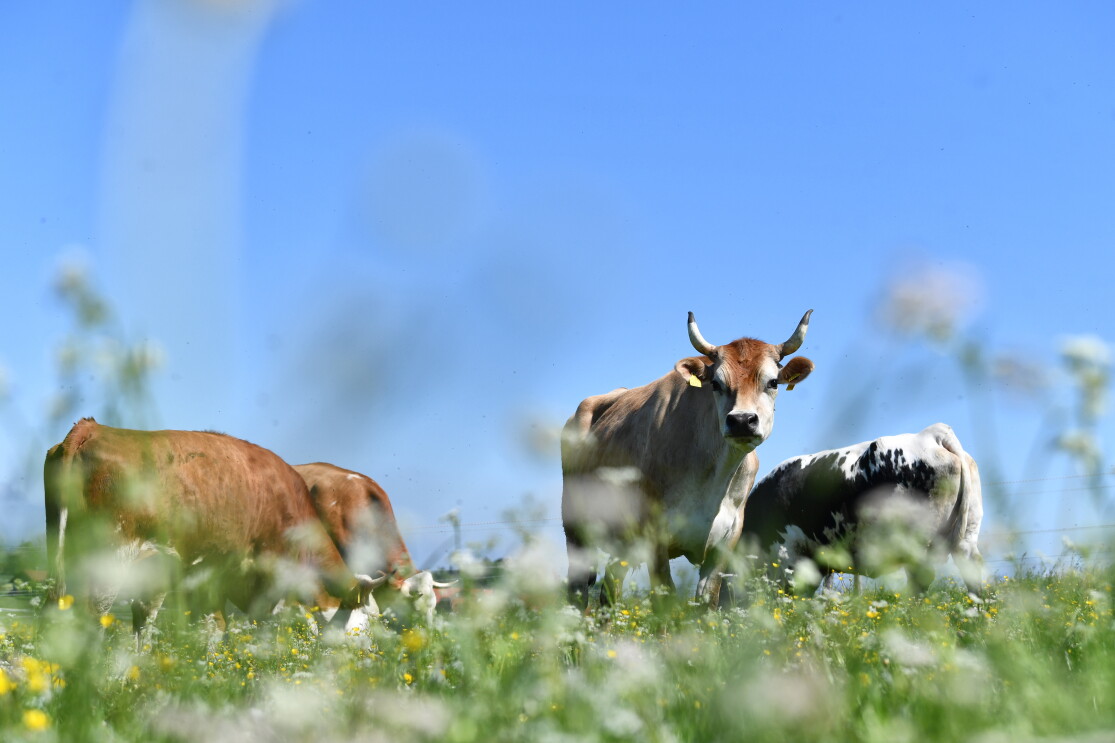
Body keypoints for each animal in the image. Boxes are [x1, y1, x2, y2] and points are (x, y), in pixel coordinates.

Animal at [43, 418, 379, 636]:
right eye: (366, 624)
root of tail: (92, 427)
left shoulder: (206, 580)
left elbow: (212, 628)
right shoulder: (273, 579)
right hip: (112, 555)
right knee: (92, 616)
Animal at [561, 310, 815, 609]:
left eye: (773, 382)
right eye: (716, 383)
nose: (742, 420)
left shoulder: (725, 542)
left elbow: (707, 602)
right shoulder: (655, 537)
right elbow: (667, 601)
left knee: (610, 590)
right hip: (575, 531)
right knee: (578, 590)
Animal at [738, 423, 984, 595]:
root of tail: (931, 434)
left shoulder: (788, 553)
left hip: (917, 542)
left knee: (921, 582)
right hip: (967, 537)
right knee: (974, 575)